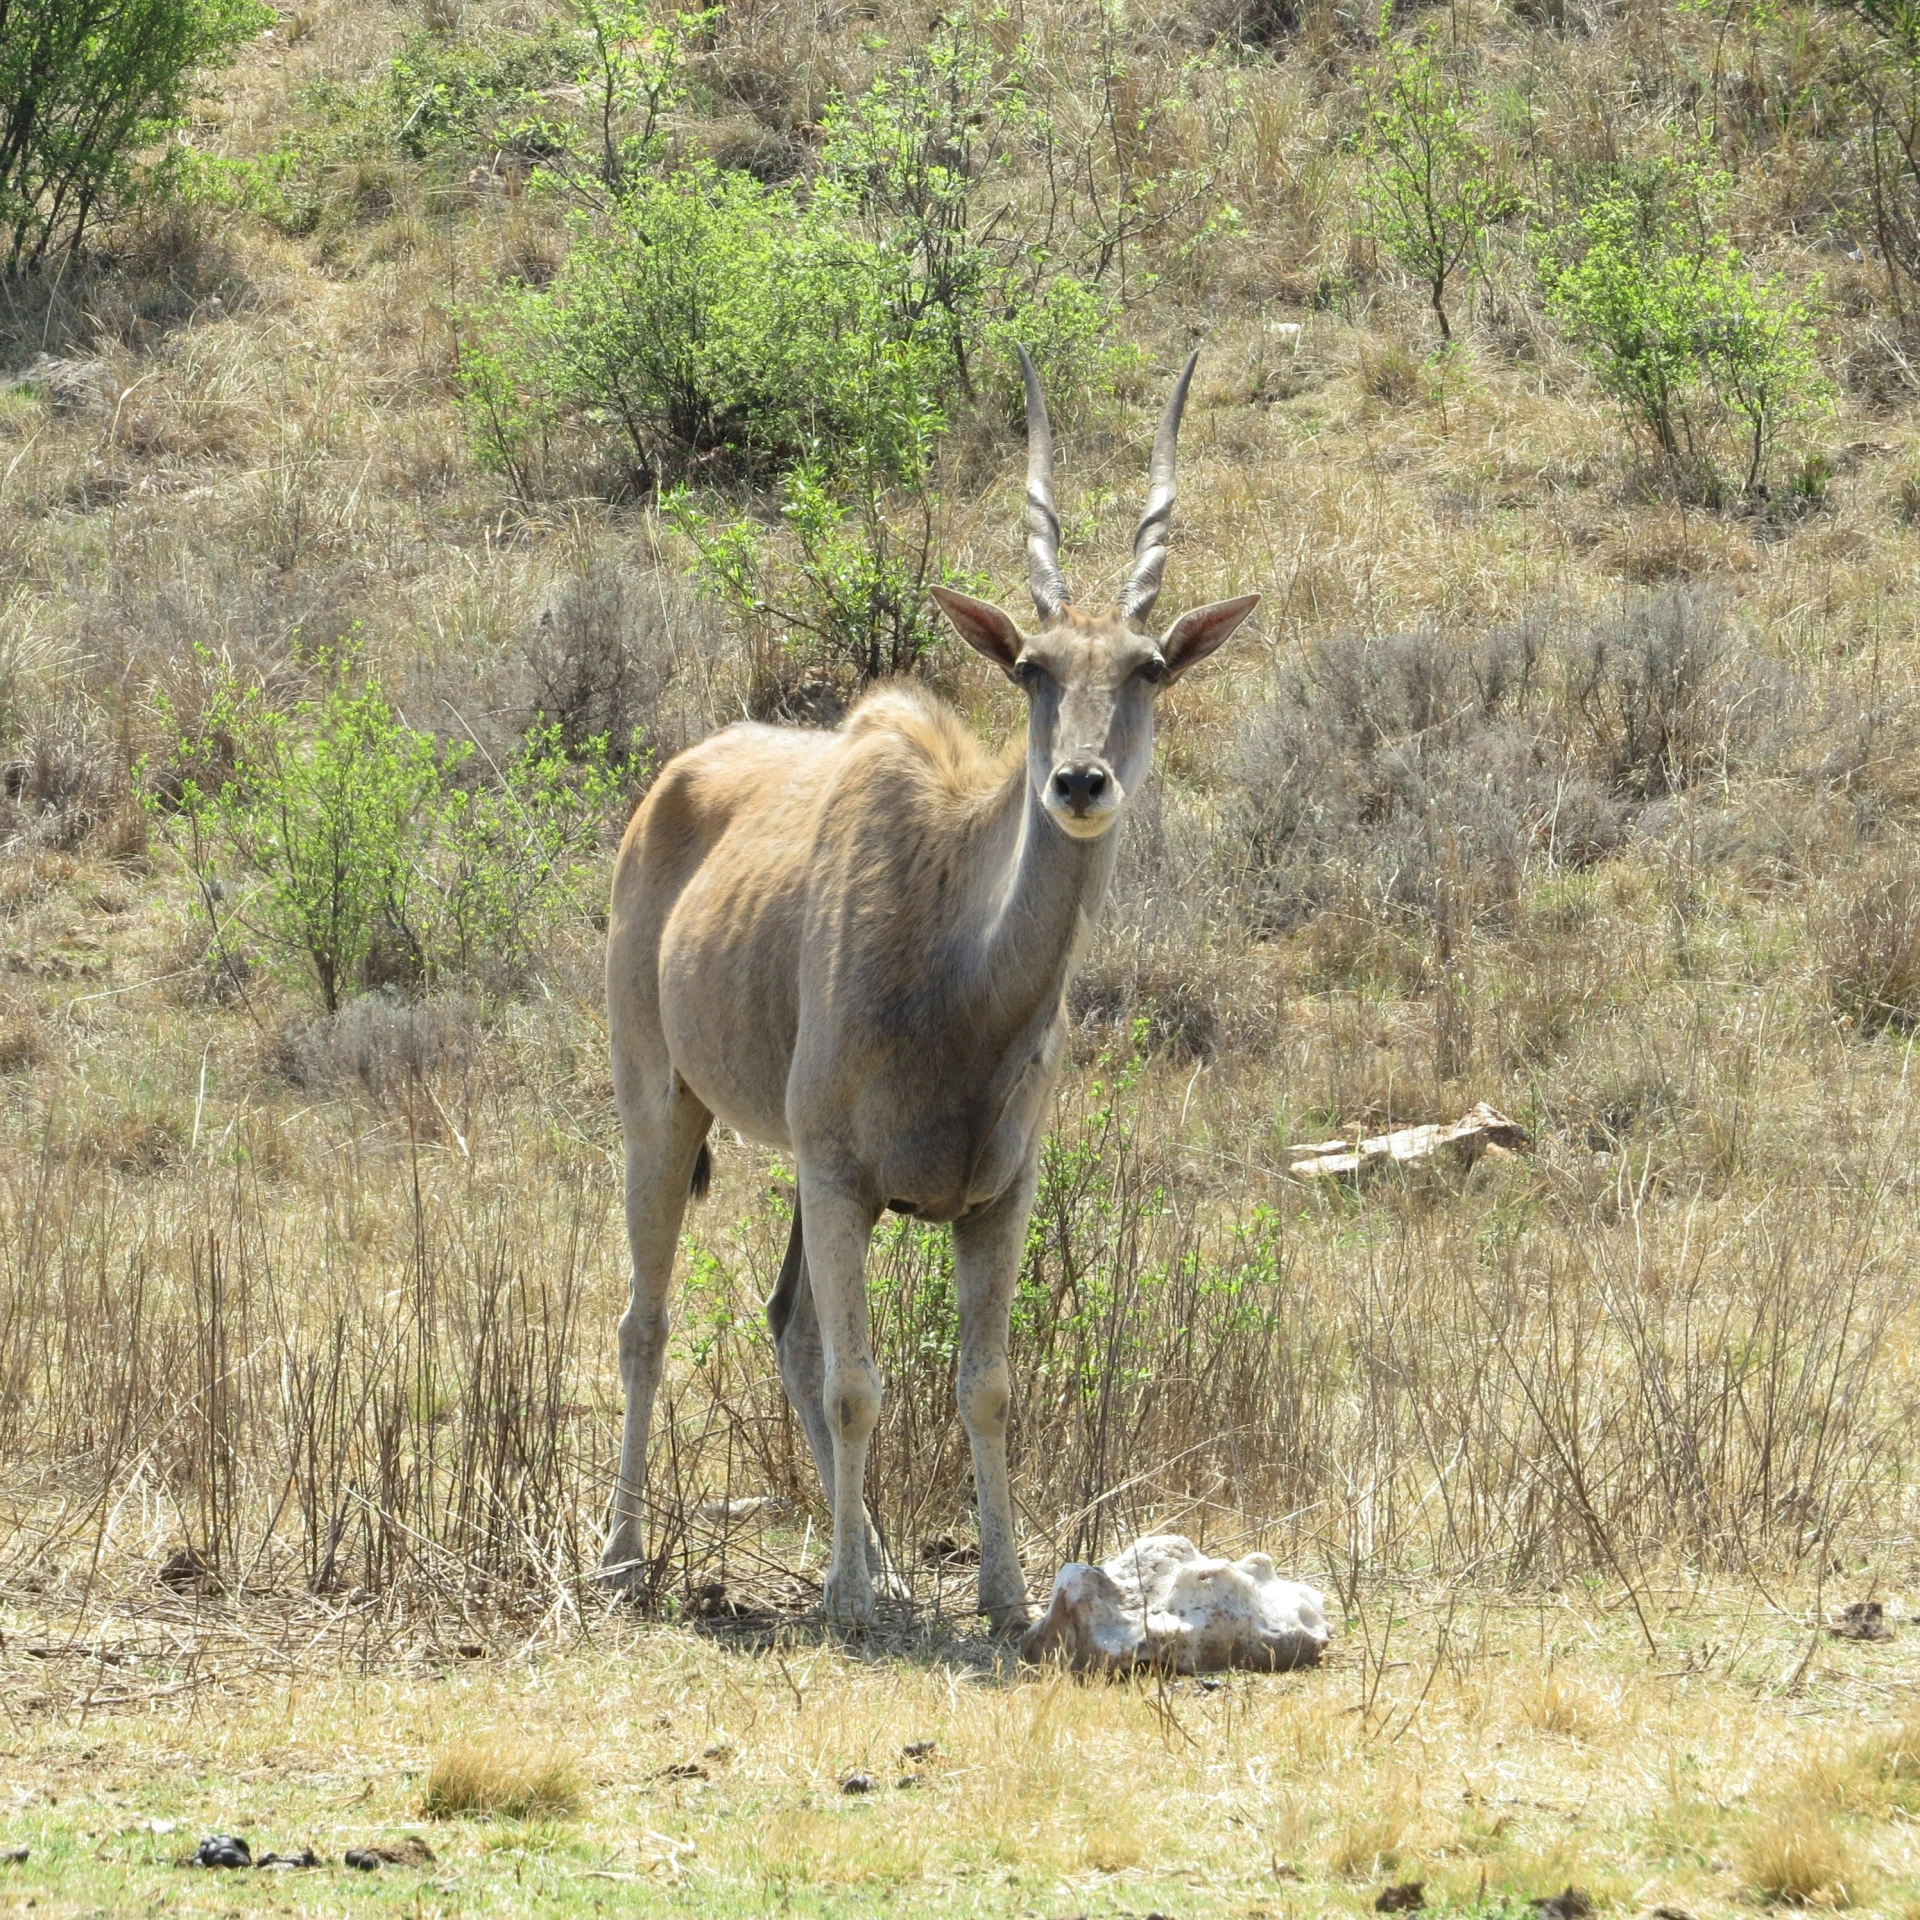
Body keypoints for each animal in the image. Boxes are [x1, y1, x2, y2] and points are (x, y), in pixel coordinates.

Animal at [602, 345, 1259, 1620]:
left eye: (1149, 666)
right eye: (1032, 668)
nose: (1080, 782)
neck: (960, 978)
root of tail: (670, 783)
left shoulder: (994, 1196)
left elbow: (982, 1383)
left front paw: (1000, 1590)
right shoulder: (840, 1176)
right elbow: (861, 1383)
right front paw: (850, 1603)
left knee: (785, 1327)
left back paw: (885, 1566)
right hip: (664, 1106)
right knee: (647, 1321)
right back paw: (625, 1558)